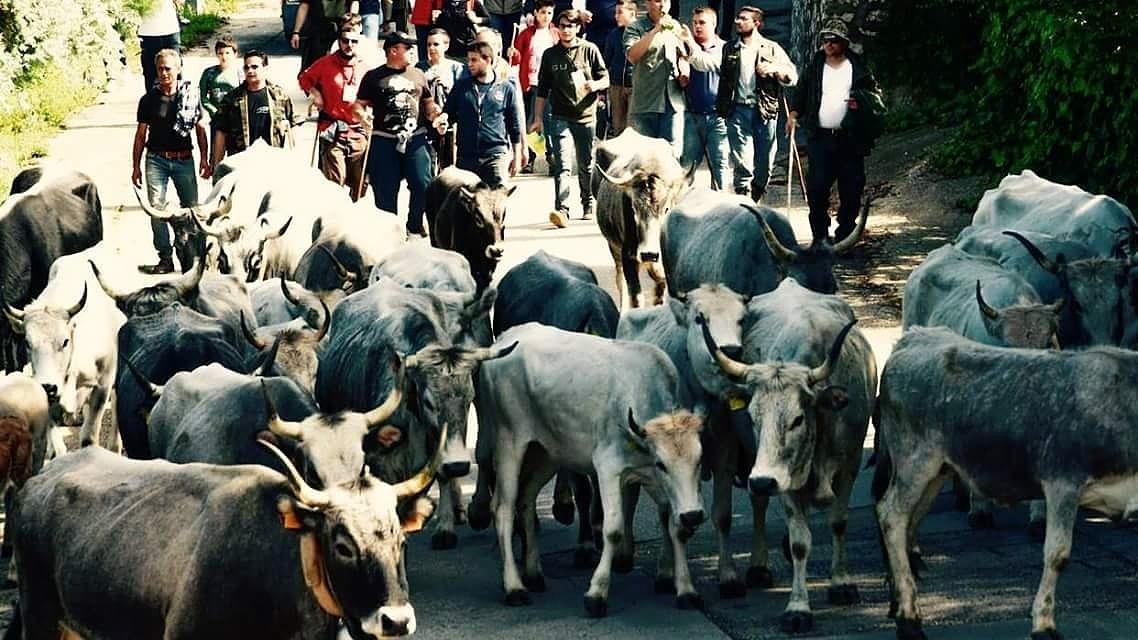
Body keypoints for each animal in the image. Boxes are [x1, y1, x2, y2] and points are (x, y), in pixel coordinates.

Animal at [468, 323, 701, 614]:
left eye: (699, 460)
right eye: (662, 464)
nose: (695, 515)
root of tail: (506, 337)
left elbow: (676, 527)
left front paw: (686, 589)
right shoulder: (608, 468)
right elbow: (613, 529)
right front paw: (597, 593)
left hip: (546, 453)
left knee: (525, 500)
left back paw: (534, 574)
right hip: (509, 443)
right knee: (503, 509)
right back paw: (514, 586)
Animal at [696, 276, 873, 628]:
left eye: (797, 419)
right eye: (752, 417)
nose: (763, 480)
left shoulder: (851, 463)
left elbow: (839, 523)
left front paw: (841, 583)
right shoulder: (783, 478)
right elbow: (800, 541)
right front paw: (798, 607)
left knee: (757, 502)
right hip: (734, 453)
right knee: (732, 510)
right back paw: (742, 572)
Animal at [873, 325, 1138, 637]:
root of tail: (915, 336)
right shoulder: (1063, 482)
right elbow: (1057, 554)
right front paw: (1044, 626)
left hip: (936, 471)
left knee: (910, 523)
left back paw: (898, 603)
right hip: (914, 460)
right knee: (892, 516)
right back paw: (909, 619)